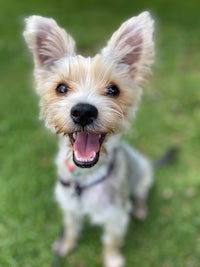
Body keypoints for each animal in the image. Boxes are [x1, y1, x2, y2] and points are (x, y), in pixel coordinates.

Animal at [23, 12, 155, 267]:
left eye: (113, 90)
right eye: (61, 88)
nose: (83, 111)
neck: (84, 178)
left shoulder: (116, 215)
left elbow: (111, 242)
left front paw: (113, 260)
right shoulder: (69, 207)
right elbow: (71, 230)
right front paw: (65, 246)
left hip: (144, 175)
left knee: (141, 195)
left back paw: (141, 209)